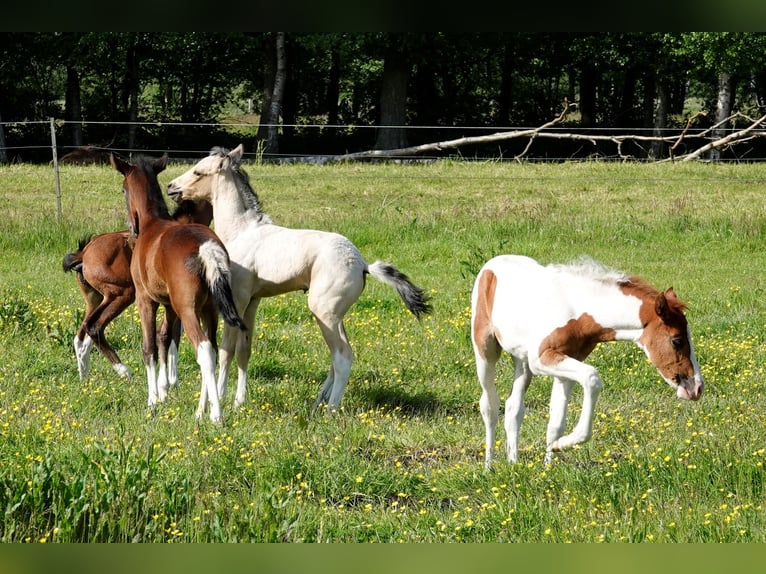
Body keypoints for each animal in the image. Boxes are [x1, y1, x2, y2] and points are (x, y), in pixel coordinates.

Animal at [61, 200, 213, 384]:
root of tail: (84, 252)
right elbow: (173, 335)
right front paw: (172, 380)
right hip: (122, 294)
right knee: (94, 327)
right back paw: (124, 371)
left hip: (95, 299)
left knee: (81, 337)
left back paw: (85, 378)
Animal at [112, 152, 246, 424]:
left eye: (123, 189)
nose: (132, 227)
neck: (152, 225)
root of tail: (206, 247)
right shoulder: (169, 304)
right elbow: (165, 337)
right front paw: (164, 391)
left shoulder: (146, 300)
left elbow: (149, 346)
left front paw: (152, 399)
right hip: (209, 309)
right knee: (212, 349)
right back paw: (202, 410)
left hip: (189, 309)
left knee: (203, 349)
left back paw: (216, 415)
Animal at [474, 254, 708, 470]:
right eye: (677, 340)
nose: (696, 388)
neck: (577, 310)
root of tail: (493, 263)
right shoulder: (541, 359)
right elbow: (592, 378)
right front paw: (567, 443)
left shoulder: (565, 365)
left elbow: (556, 423)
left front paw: (550, 464)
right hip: (485, 350)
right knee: (490, 405)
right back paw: (489, 467)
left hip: (521, 361)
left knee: (514, 406)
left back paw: (513, 463)